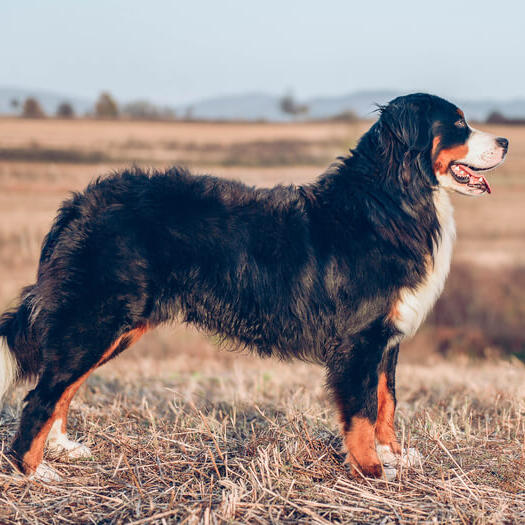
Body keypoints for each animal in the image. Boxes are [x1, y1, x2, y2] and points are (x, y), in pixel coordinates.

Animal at [0, 93, 508, 478]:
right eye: (458, 124)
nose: (504, 140)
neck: (391, 199)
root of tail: (82, 202)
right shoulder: (360, 340)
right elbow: (362, 411)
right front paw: (373, 472)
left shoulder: (386, 339)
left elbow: (386, 403)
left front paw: (395, 457)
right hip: (97, 318)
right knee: (40, 396)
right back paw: (33, 472)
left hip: (113, 325)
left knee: (61, 388)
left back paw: (63, 448)